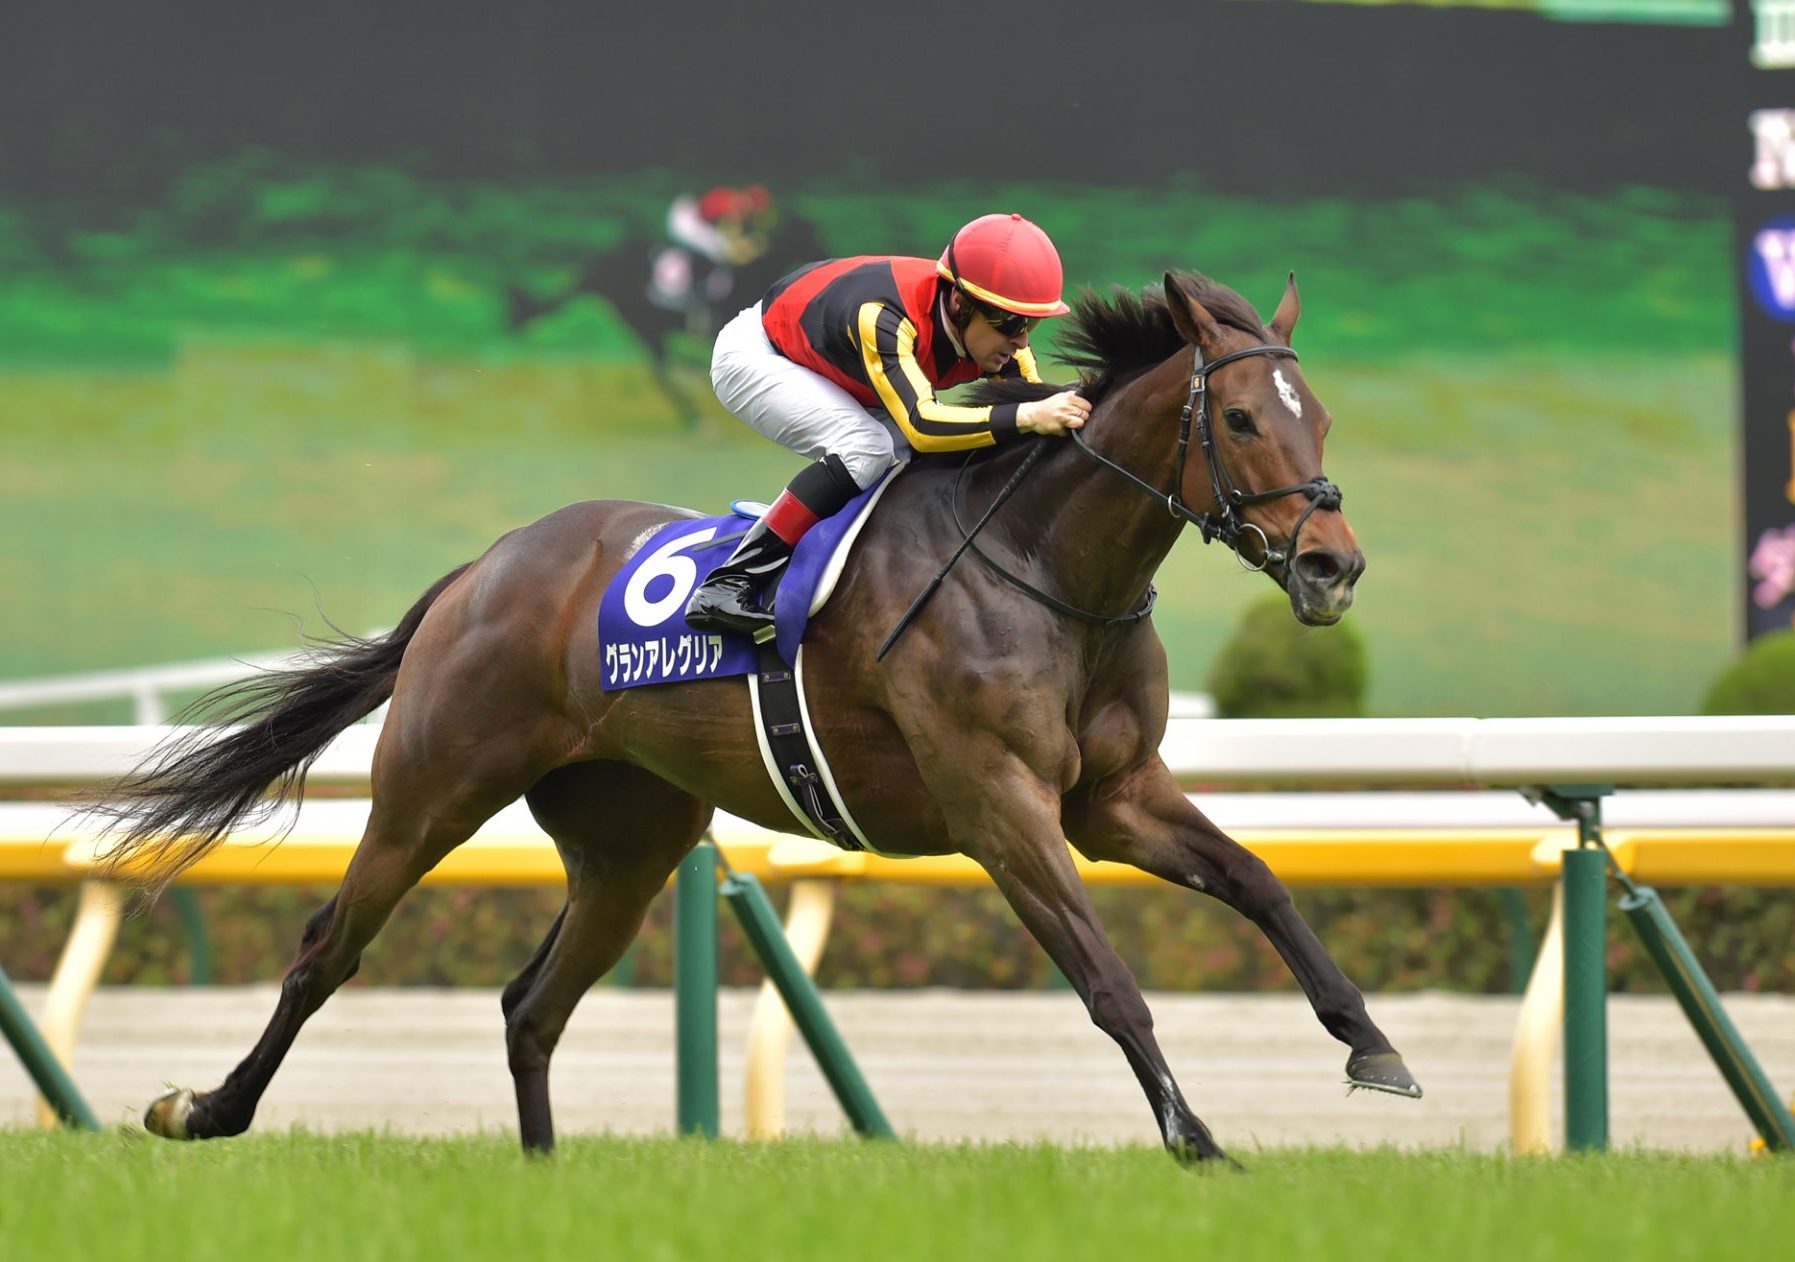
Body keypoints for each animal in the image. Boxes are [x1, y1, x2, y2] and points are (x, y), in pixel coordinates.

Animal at [91, 270, 1417, 1166]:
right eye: (1240, 420)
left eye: (1320, 418)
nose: (1334, 566)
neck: (1050, 566)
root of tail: (486, 566)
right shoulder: (998, 802)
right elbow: (1107, 979)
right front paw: (1197, 1138)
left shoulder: (1114, 796)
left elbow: (1257, 881)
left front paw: (1373, 1046)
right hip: (432, 788)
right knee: (328, 948)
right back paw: (204, 1108)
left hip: (630, 839)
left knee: (532, 1002)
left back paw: (542, 1172)